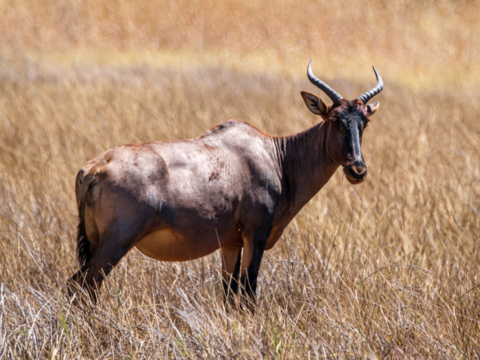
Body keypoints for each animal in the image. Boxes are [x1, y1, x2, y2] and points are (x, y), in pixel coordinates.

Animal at [66, 59, 382, 310]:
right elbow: (248, 292)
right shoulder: (255, 234)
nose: (357, 169)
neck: (275, 156)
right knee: (81, 285)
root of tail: (93, 169)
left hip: (94, 240)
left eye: (364, 121)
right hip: (116, 242)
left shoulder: (231, 242)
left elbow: (230, 294)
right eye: (334, 119)